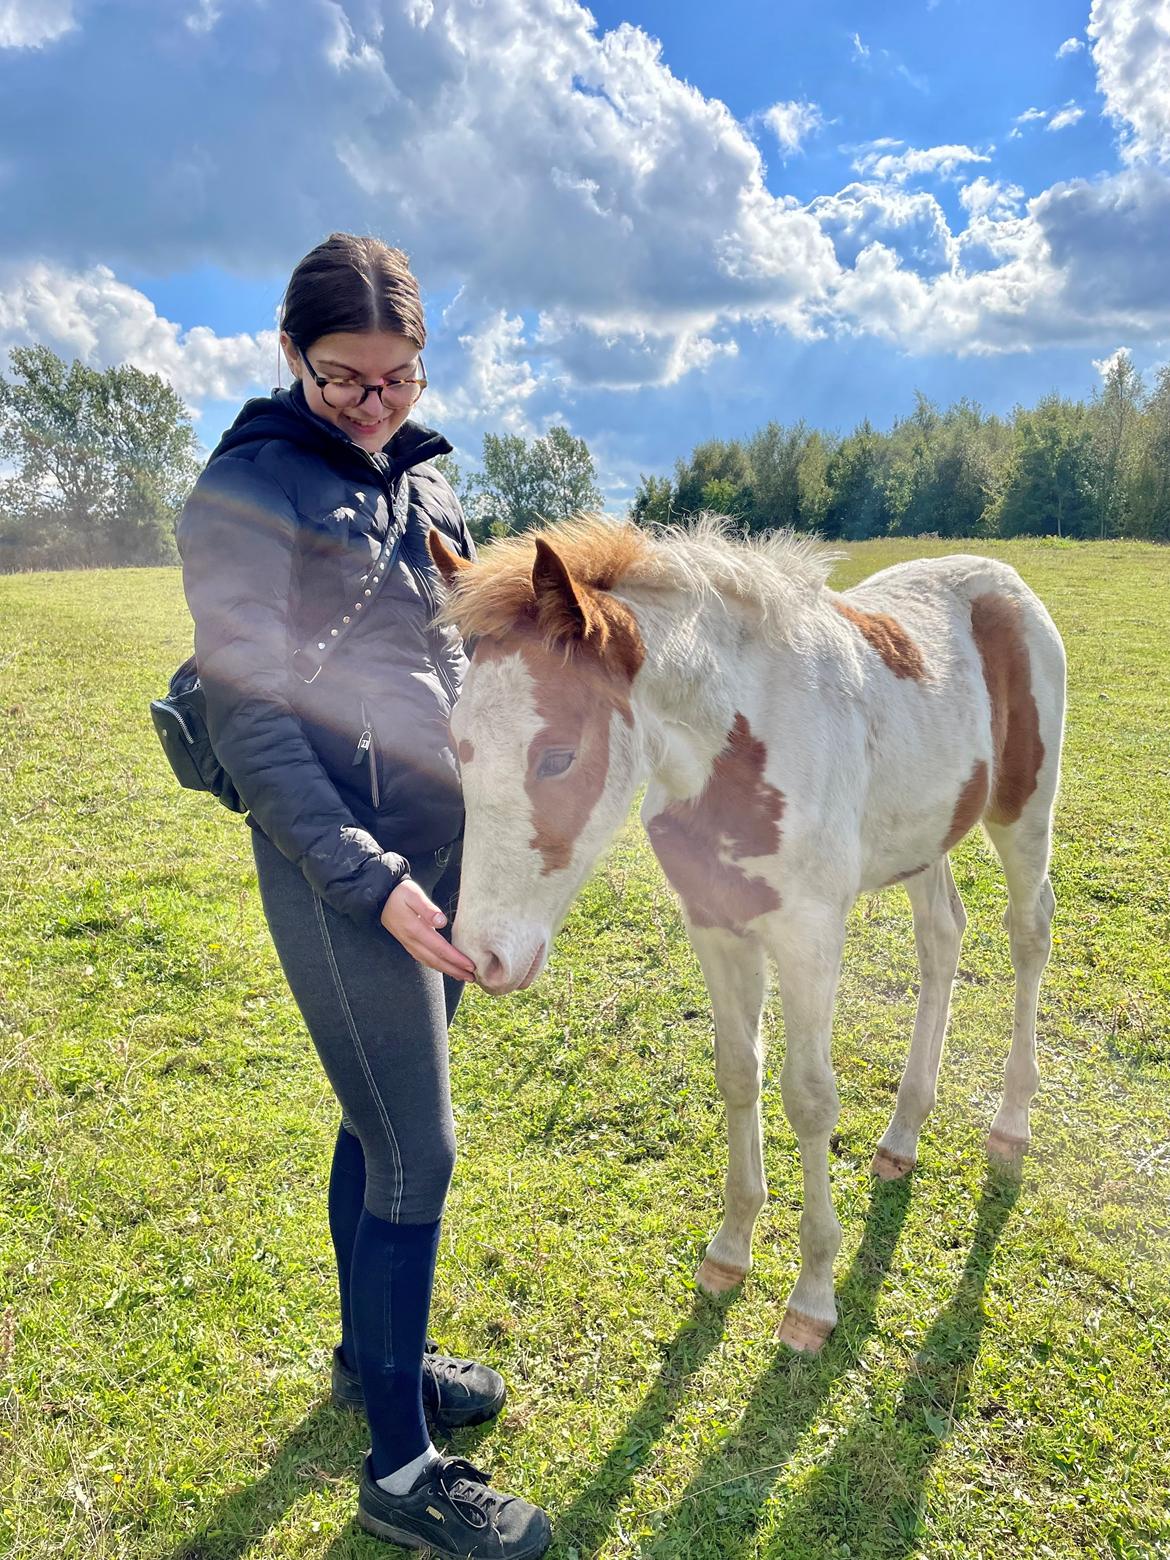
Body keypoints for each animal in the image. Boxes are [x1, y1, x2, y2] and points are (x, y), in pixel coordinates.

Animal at [427, 517, 1060, 1347]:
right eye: (458, 743)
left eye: (558, 756)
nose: (483, 956)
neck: (736, 756)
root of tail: (1003, 578)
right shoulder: (716, 925)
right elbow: (737, 1073)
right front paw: (729, 1252)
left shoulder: (810, 937)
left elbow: (810, 1098)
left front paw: (813, 1295)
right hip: (927, 834)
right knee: (942, 938)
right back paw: (902, 1135)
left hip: (1024, 810)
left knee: (1028, 933)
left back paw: (1011, 1124)